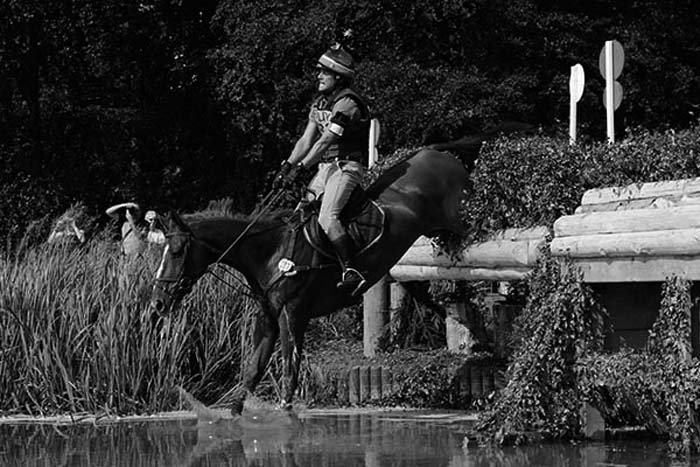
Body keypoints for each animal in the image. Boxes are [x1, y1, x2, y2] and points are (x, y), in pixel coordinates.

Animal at [149, 145, 476, 415]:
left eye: (176, 252)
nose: (158, 303)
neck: (269, 252)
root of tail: (445, 156)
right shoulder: (267, 318)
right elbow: (251, 375)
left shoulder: (292, 315)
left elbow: (288, 376)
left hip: (461, 222)